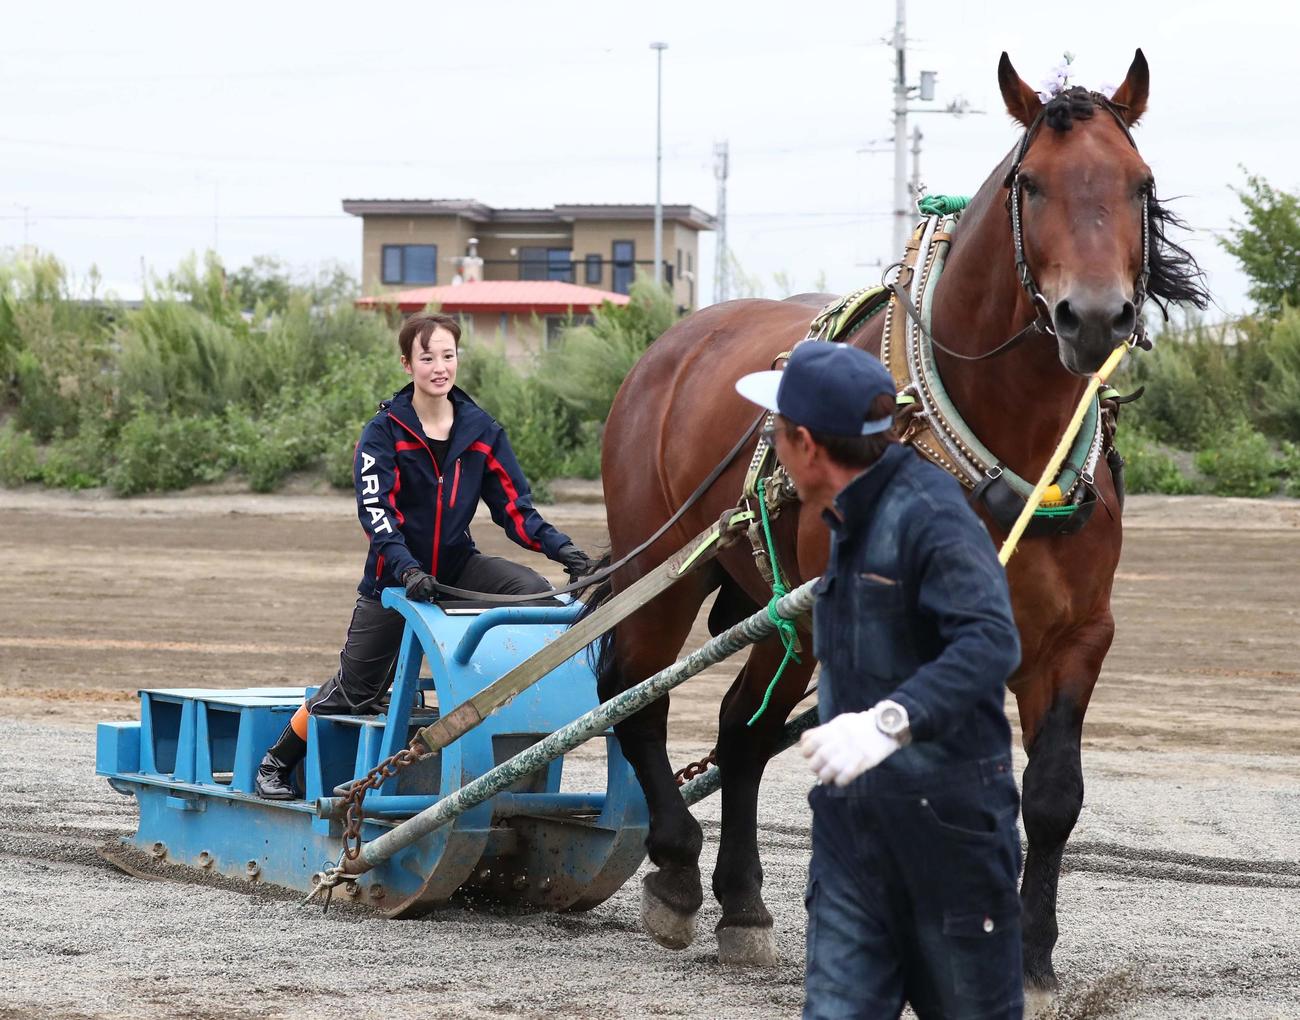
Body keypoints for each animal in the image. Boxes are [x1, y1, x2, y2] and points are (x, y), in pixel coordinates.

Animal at [587, 49, 1207, 989]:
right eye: (1031, 182)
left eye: (1139, 183)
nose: (1096, 316)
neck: (997, 441)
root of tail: (676, 342)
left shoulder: (1074, 635)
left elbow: (1051, 795)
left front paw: (1029, 956)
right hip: (662, 568)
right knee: (634, 696)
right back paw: (677, 866)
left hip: (779, 608)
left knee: (742, 730)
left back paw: (742, 901)